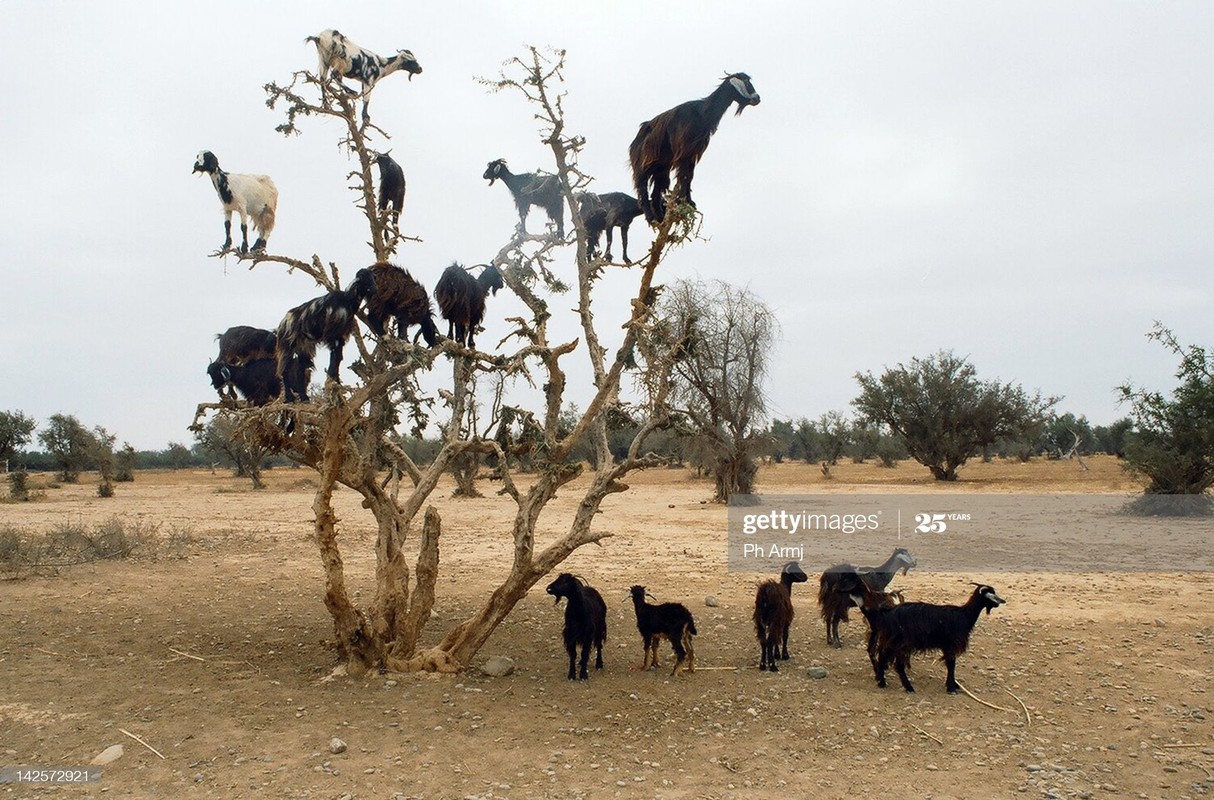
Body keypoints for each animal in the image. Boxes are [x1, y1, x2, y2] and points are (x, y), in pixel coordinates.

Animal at [626, 72, 757, 225]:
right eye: (746, 81)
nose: (757, 98)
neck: (702, 113)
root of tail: (633, 144)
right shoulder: (684, 151)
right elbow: (683, 175)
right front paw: (683, 201)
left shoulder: (694, 153)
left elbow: (690, 176)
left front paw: (689, 202)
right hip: (641, 167)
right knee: (642, 190)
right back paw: (651, 218)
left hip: (661, 168)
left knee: (656, 191)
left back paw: (660, 218)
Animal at [874, 582, 1005, 694]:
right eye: (990, 594)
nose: (1002, 601)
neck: (964, 615)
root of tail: (889, 612)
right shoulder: (950, 644)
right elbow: (951, 664)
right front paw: (951, 688)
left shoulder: (947, 645)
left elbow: (950, 664)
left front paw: (953, 684)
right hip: (902, 642)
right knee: (898, 664)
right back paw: (908, 687)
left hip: (890, 639)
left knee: (882, 655)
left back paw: (881, 682)